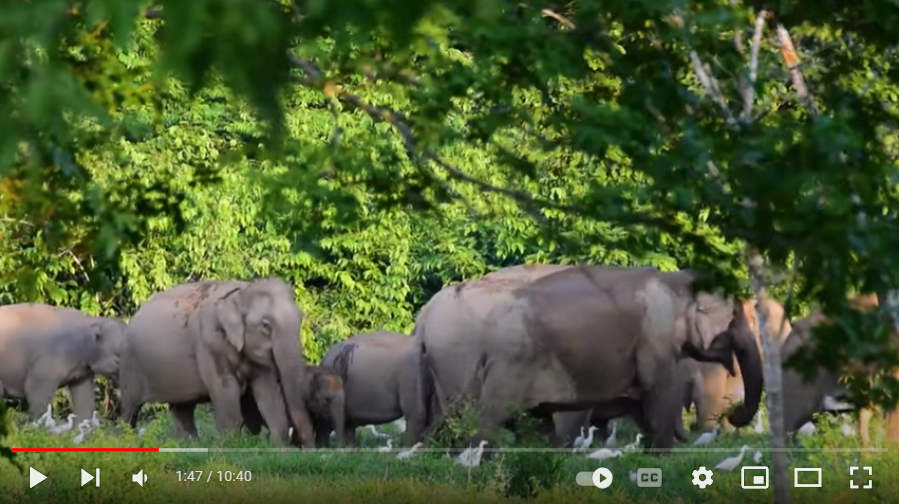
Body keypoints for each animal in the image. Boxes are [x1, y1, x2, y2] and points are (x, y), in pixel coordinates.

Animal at [118, 280, 316, 448]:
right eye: (266, 325)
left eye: (301, 318)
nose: (307, 447)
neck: (241, 292)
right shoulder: (210, 345)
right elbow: (226, 393)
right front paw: (231, 445)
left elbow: (269, 395)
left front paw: (281, 449)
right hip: (130, 365)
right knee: (130, 407)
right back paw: (125, 441)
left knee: (182, 407)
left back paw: (190, 444)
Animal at [412, 266, 764, 450]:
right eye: (738, 318)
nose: (735, 414)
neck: (675, 280)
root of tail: (424, 314)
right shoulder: (654, 335)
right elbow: (658, 389)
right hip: (465, 356)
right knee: (472, 414)